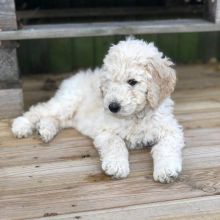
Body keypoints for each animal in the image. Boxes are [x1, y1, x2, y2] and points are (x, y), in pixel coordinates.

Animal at [11, 38, 184, 184]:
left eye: (132, 82)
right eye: (109, 82)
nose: (112, 107)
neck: (136, 116)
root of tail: (72, 78)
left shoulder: (171, 130)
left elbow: (165, 147)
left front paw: (166, 170)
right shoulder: (105, 131)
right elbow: (116, 143)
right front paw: (117, 166)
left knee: (54, 119)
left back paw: (45, 130)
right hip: (67, 102)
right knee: (40, 110)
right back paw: (22, 126)